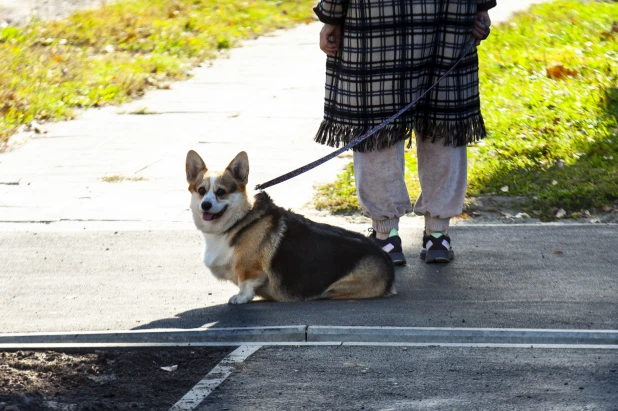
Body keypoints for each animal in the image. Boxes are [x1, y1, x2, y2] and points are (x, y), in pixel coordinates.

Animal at [184, 150, 394, 304]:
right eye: (201, 190)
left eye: (221, 192)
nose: (205, 205)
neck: (238, 220)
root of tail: (387, 262)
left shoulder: (250, 268)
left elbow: (246, 283)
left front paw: (240, 298)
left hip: (337, 289)